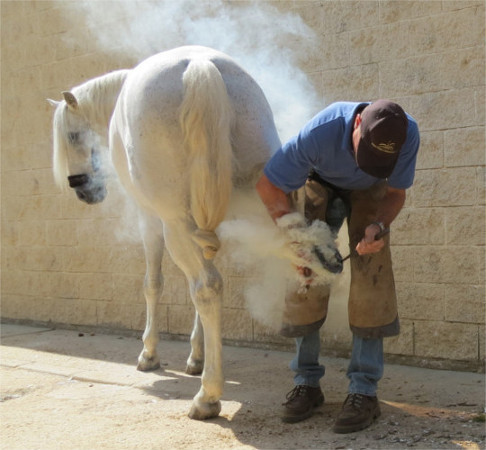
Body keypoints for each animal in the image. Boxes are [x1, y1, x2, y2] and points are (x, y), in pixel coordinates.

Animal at [48, 44, 338, 418]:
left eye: (72, 135)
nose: (82, 189)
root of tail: (200, 67)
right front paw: (197, 356)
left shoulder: (151, 219)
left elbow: (154, 284)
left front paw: (150, 354)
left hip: (175, 222)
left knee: (208, 288)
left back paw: (207, 396)